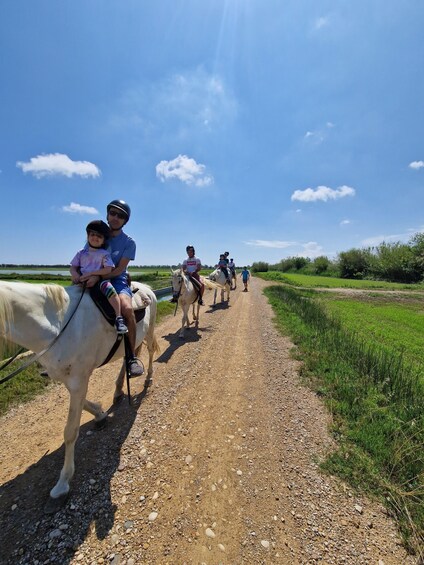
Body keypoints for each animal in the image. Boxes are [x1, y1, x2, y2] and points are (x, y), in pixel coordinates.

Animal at [0, 280, 159, 508]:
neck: (56, 325)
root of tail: (146, 287)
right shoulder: (68, 378)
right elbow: (83, 405)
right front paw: (101, 414)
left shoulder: (78, 379)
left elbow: (70, 432)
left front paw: (62, 484)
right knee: (128, 357)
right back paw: (119, 388)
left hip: (149, 329)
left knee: (151, 350)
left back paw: (147, 377)